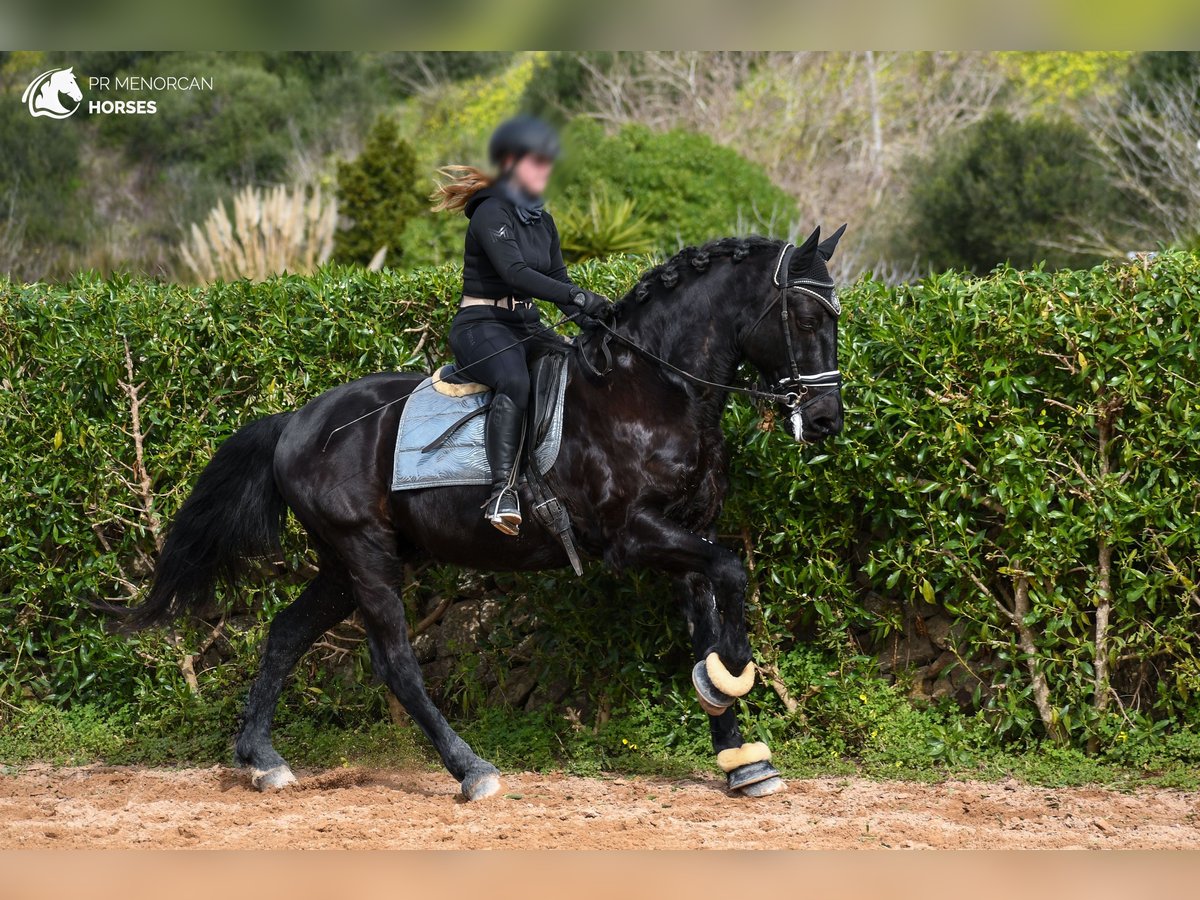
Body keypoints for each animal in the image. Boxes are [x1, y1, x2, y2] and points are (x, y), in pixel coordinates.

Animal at [119, 229, 844, 801]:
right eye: (806, 319)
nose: (827, 422)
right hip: (365, 555)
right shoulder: (634, 536)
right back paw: (471, 769)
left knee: (285, 635)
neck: (654, 389)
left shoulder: (688, 533)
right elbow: (733, 574)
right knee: (395, 662)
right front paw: (733, 673)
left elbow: (710, 612)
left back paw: (262, 761)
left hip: (345, 563)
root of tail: (295, 421)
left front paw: (739, 755)